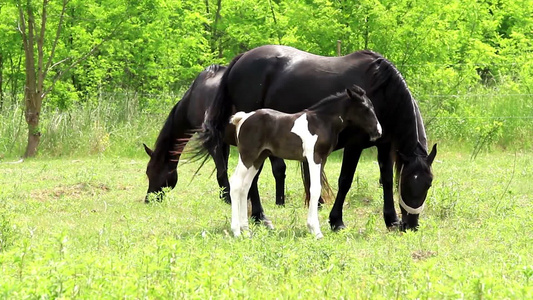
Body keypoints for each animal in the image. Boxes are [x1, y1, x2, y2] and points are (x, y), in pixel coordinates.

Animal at [142, 63, 286, 209]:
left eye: (150, 171)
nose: (148, 199)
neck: (193, 98)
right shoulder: (223, 142)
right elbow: (225, 167)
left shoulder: (210, 142)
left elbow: (221, 171)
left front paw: (227, 198)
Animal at [227, 86, 380, 239]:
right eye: (365, 108)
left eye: (372, 107)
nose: (378, 132)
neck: (322, 122)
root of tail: (243, 118)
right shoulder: (314, 158)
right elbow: (315, 189)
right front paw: (316, 231)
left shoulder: (323, 159)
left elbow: (317, 188)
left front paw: (312, 229)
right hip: (247, 156)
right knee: (236, 183)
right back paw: (236, 231)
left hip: (258, 158)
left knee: (245, 186)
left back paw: (246, 231)